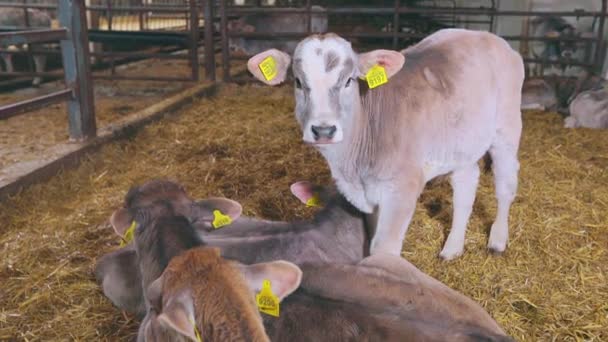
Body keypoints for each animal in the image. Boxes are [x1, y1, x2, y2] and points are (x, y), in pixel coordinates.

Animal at [246, 29, 524, 260]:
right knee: (466, 185)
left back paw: (497, 240)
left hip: (507, 127)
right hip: (462, 143)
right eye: (298, 82)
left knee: (505, 184)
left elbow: (383, 248)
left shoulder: (402, 188)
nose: (323, 130)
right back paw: (452, 248)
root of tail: (487, 36)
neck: (353, 169)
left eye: (349, 80)